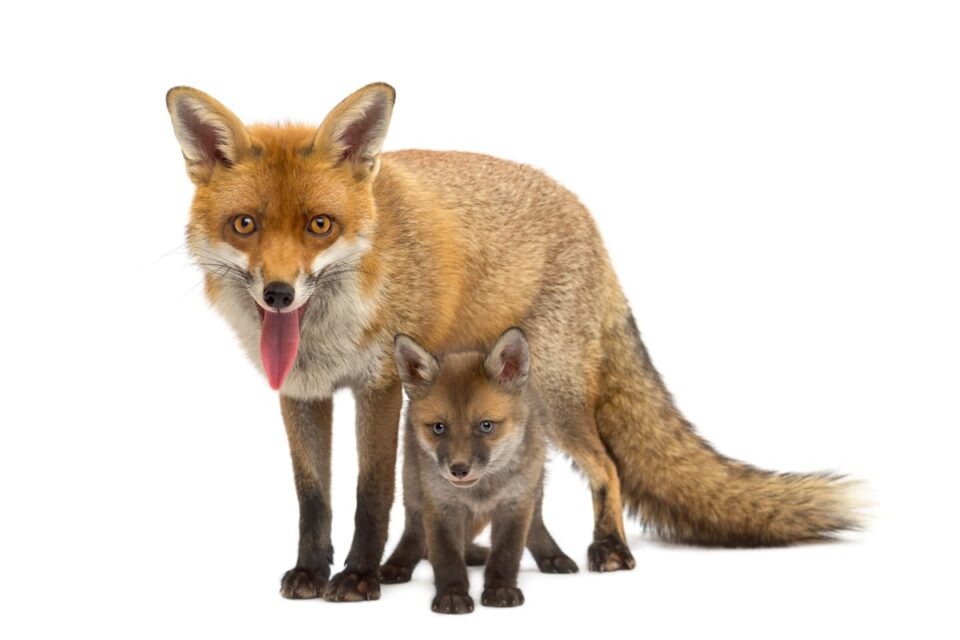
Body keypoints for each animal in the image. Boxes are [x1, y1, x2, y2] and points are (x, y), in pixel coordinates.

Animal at [391, 328, 578, 613]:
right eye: (439, 428)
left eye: (486, 425)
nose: (459, 469)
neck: (481, 491)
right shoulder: (440, 505)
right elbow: (446, 557)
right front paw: (452, 594)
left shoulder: (515, 503)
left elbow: (507, 553)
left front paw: (501, 589)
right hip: (412, 484)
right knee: (415, 533)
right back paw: (398, 564)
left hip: (535, 485)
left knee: (535, 524)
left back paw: (551, 555)